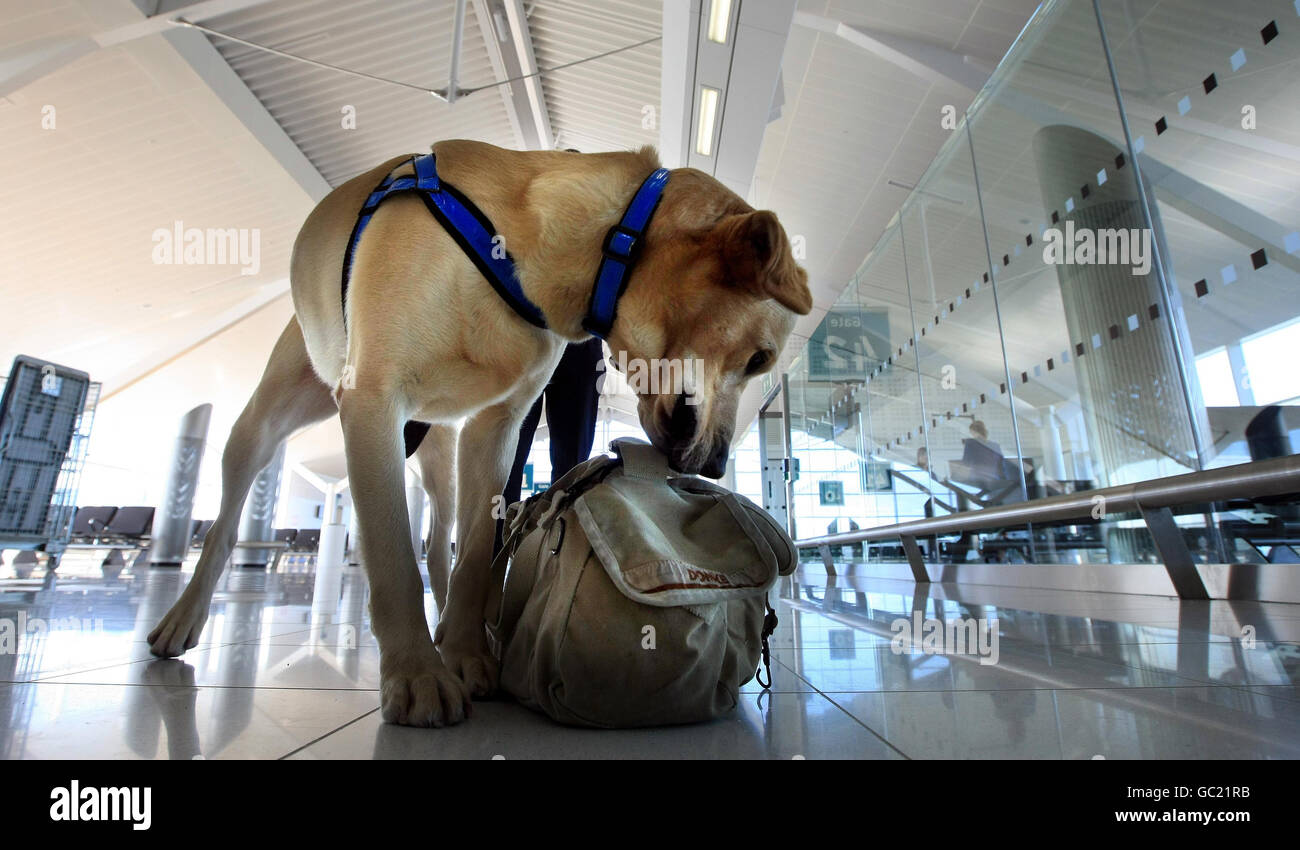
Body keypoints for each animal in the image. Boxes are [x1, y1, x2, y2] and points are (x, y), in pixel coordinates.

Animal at [147, 139, 806, 727]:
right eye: (759, 358)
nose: (717, 465)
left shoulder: (499, 428)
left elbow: (474, 552)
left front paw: (464, 653)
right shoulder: (372, 402)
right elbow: (391, 555)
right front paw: (415, 673)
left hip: (437, 449)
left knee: (442, 538)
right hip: (272, 416)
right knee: (227, 518)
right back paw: (183, 617)